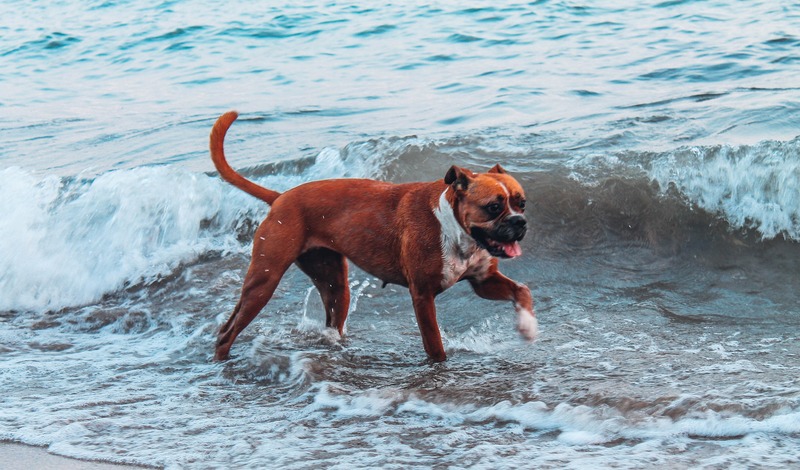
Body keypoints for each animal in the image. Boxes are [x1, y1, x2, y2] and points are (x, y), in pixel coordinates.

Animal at [212, 112, 536, 362]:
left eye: (522, 203)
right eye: (493, 207)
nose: (520, 222)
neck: (454, 228)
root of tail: (280, 197)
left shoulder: (484, 281)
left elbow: (522, 290)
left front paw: (528, 326)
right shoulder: (422, 296)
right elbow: (435, 346)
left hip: (334, 284)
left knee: (333, 317)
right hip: (263, 282)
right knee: (227, 331)